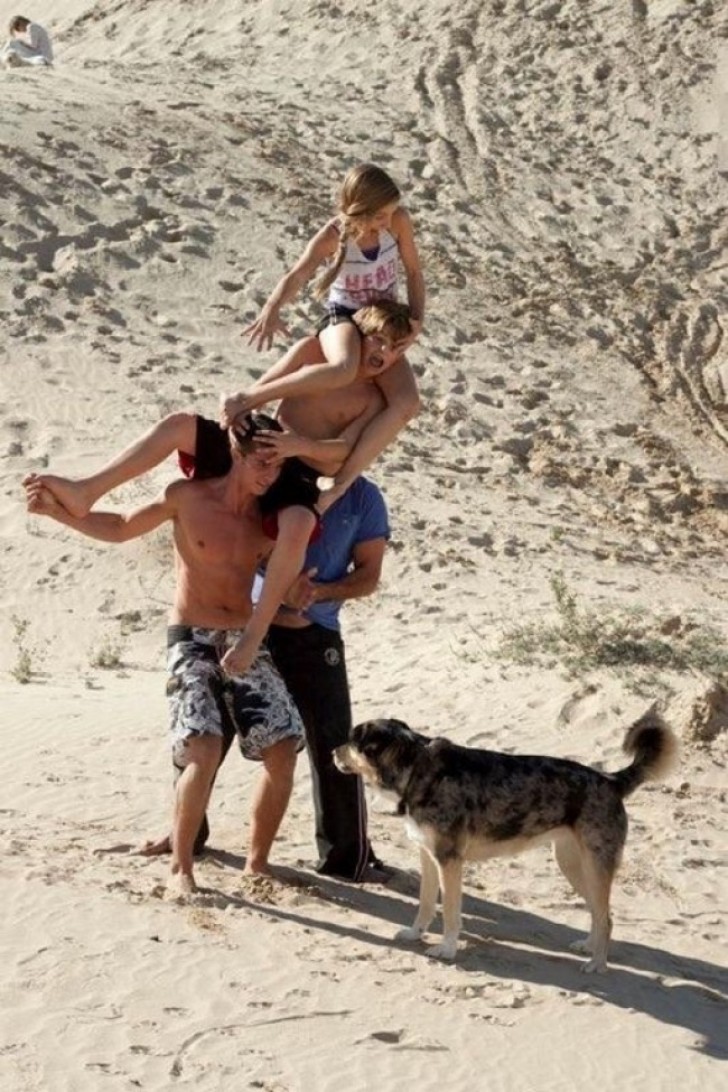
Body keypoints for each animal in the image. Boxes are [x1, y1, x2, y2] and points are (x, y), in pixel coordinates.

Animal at [333, 707, 676, 974]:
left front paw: (447, 950)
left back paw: (597, 964)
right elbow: (426, 904)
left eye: (353, 740)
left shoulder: (449, 862)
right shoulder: (429, 858)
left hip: (595, 866)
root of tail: (611, 780)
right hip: (573, 866)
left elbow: (451, 913)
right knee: (599, 912)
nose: (332, 752)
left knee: (606, 918)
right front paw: (415, 934)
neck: (417, 771)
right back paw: (589, 946)